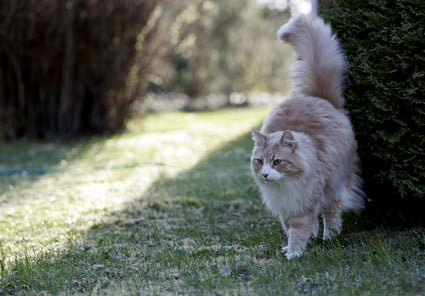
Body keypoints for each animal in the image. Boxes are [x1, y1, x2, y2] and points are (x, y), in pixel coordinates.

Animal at [250, 14, 362, 260]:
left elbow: (299, 229)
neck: (284, 185)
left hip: (335, 185)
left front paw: (294, 252)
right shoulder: (286, 208)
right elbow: (291, 227)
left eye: (277, 162)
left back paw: (330, 237)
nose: (265, 174)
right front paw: (297, 245)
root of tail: (318, 97)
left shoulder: (305, 203)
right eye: (259, 161)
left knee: (332, 213)